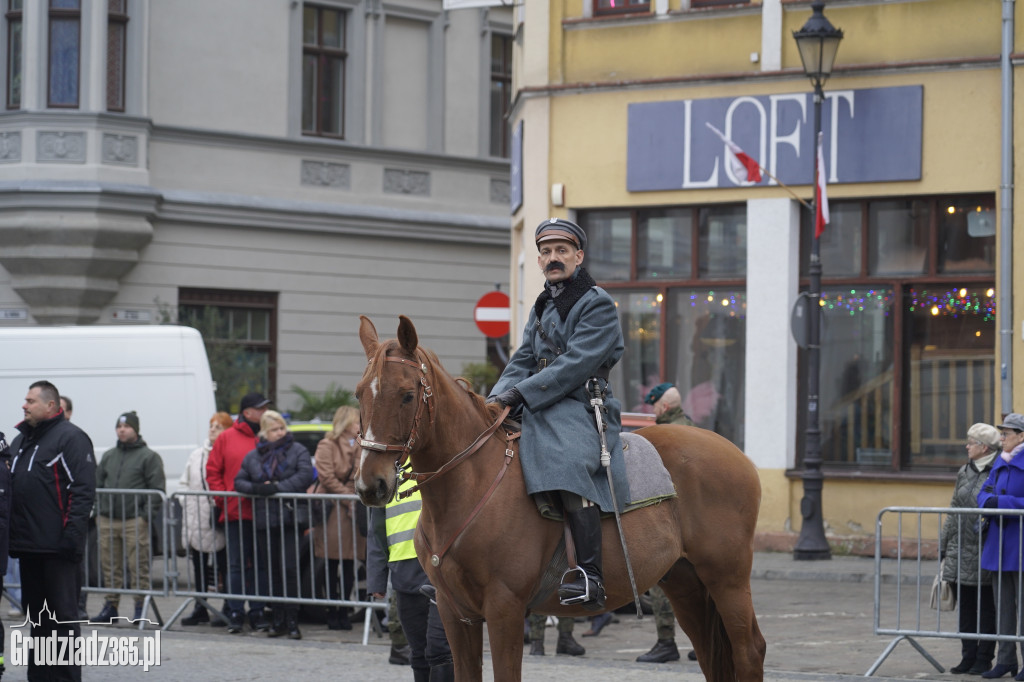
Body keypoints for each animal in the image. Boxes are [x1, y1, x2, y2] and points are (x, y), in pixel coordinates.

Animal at [356, 317, 765, 679]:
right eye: (360, 393)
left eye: (407, 395)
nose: (370, 484)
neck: (469, 485)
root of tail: (737, 453)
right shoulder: (454, 612)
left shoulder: (504, 609)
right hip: (685, 583)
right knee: (711, 655)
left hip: (727, 578)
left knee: (749, 650)